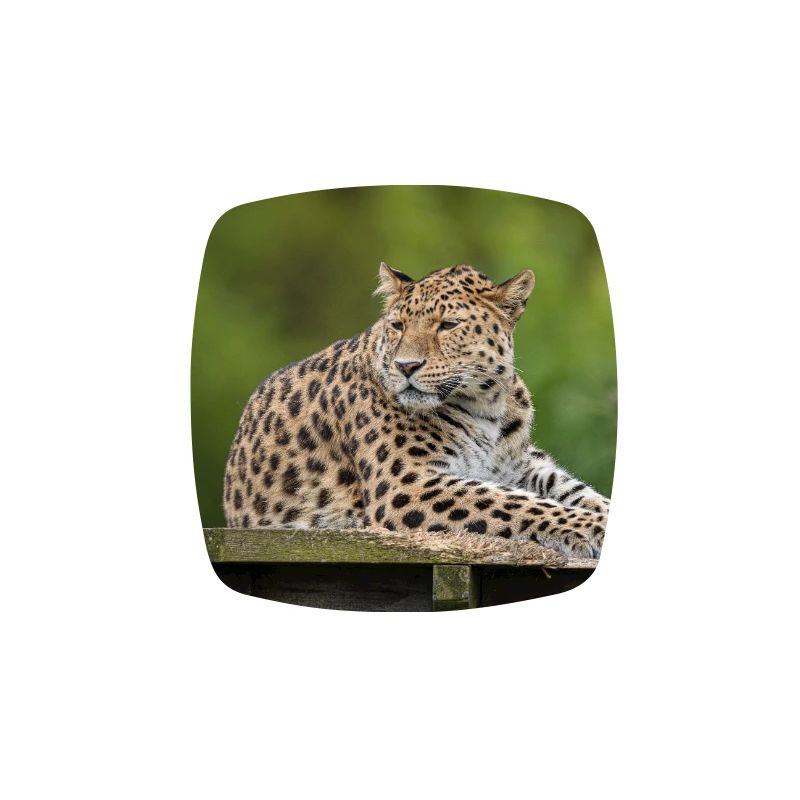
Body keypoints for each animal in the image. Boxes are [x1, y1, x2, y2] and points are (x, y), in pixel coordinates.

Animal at [223, 263, 610, 559]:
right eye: (397, 326)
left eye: (448, 325)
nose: (405, 365)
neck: (487, 405)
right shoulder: (405, 483)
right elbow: (516, 503)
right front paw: (595, 528)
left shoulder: (519, 464)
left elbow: (570, 490)